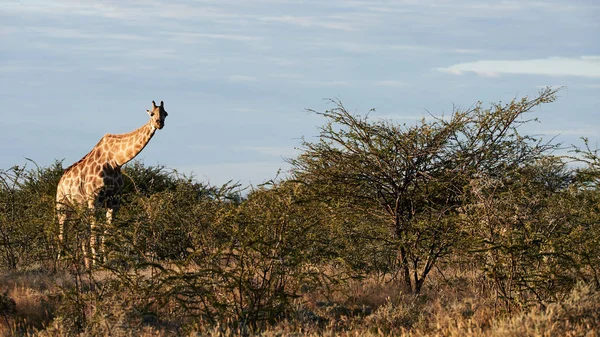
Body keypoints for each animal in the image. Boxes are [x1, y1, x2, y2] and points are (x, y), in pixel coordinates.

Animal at [57, 100, 169, 268]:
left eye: (165, 114)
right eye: (151, 114)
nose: (159, 123)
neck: (116, 161)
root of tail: (60, 181)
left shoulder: (114, 201)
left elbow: (107, 233)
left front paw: (105, 262)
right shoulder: (94, 199)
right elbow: (95, 233)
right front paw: (97, 264)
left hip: (77, 207)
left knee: (79, 231)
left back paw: (82, 263)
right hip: (62, 205)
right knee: (61, 232)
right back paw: (60, 262)